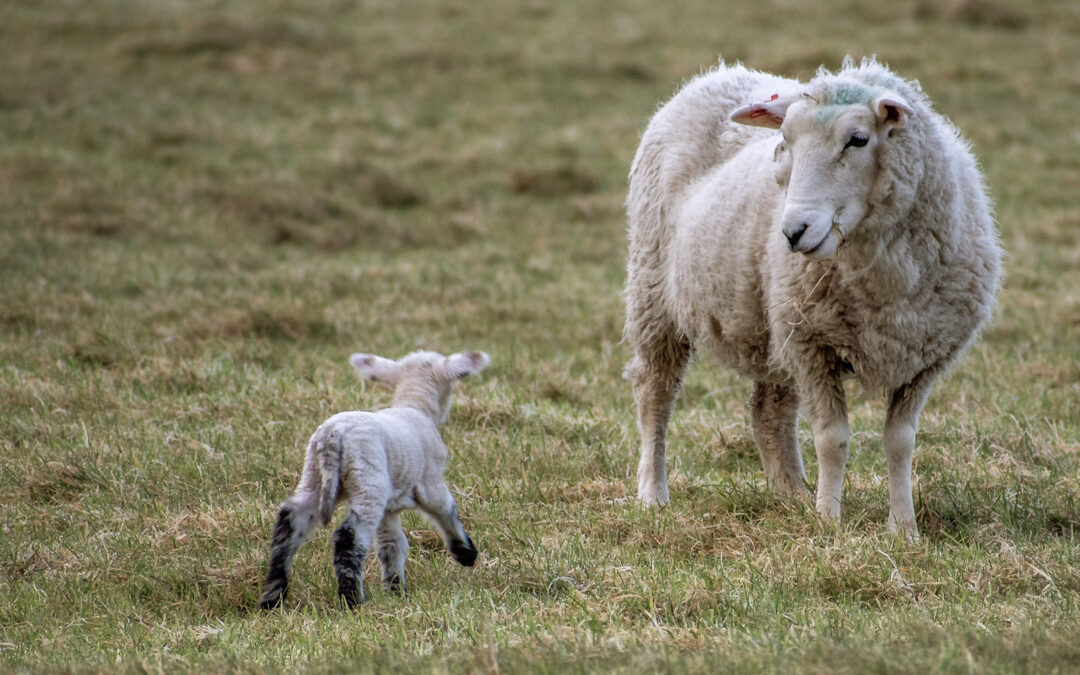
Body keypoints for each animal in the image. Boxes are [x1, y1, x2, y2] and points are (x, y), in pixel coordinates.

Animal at [259, 349, 488, 609]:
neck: (415, 405)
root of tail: (331, 437)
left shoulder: (389, 508)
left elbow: (393, 545)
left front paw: (395, 590)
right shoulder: (430, 483)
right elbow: (446, 509)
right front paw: (466, 553)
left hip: (314, 476)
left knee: (289, 523)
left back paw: (273, 595)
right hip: (369, 482)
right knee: (349, 537)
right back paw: (352, 600)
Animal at [626, 57, 1002, 537]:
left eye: (858, 139)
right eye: (785, 141)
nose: (793, 232)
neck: (884, 283)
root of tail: (719, 73)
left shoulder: (925, 358)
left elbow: (900, 442)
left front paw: (903, 529)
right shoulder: (812, 346)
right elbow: (832, 438)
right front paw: (829, 521)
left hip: (770, 325)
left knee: (768, 410)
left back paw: (790, 494)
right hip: (655, 295)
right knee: (655, 395)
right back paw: (653, 493)